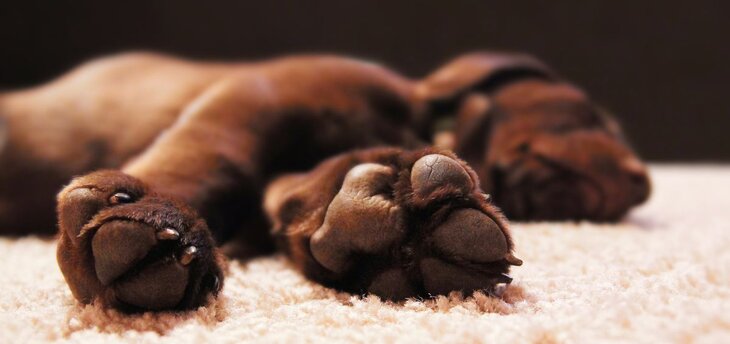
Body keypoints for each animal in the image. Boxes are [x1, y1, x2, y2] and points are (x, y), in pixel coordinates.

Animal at [0, 51, 648, 312]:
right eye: (593, 115)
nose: (644, 186)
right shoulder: (255, 98)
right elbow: (213, 158)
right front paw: (158, 215)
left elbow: (318, 187)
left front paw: (397, 225)